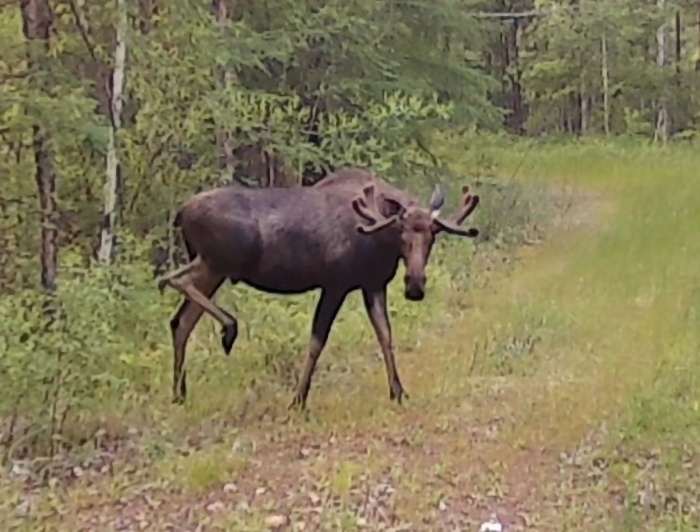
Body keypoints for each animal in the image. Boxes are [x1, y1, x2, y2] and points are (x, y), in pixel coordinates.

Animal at [156, 168, 478, 410]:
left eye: (433, 235)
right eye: (400, 231)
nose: (415, 286)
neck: (378, 240)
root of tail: (180, 213)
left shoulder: (373, 285)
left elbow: (386, 336)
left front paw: (398, 392)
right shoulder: (335, 284)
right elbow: (316, 342)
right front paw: (298, 400)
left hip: (215, 270)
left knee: (181, 321)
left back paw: (179, 393)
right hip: (218, 261)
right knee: (174, 280)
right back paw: (228, 329)